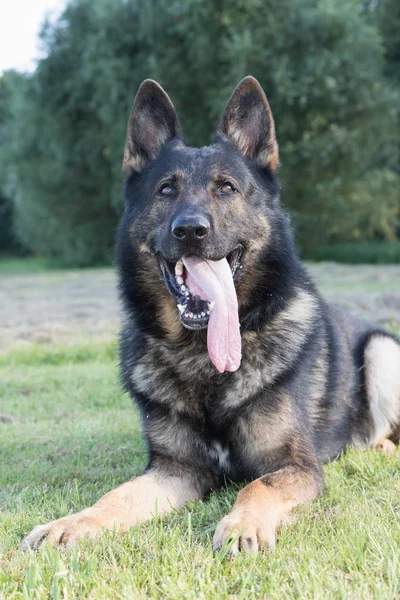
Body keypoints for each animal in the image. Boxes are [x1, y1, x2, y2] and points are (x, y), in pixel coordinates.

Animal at [22, 77, 400, 556]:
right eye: (166, 189)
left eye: (226, 188)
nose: (190, 230)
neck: (202, 355)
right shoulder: (176, 470)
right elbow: (117, 495)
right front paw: (72, 522)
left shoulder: (298, 466)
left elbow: (257, 486)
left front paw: (243, 525)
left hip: (381, 350)